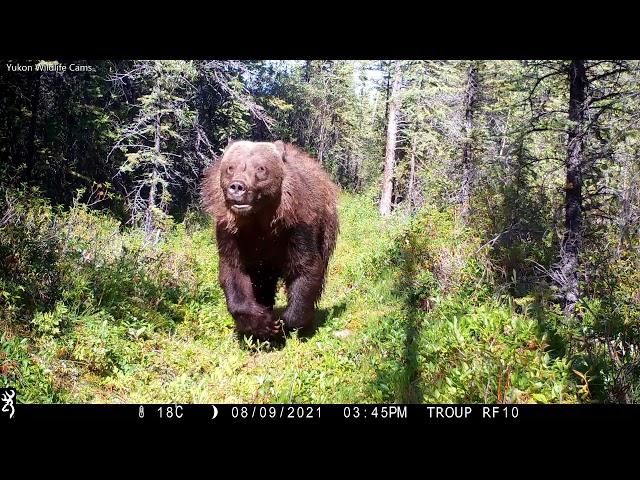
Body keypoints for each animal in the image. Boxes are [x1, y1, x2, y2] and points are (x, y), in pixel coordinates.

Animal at [202, 141, 340, 340]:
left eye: (261, 168)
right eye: (230, 167)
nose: (237, 186)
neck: (259, 219)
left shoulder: (298, 227)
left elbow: (306, 268)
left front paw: (285, 324)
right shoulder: (230, 232)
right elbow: (233, 270)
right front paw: (261, 324)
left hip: (326, 231)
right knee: (262, 283)